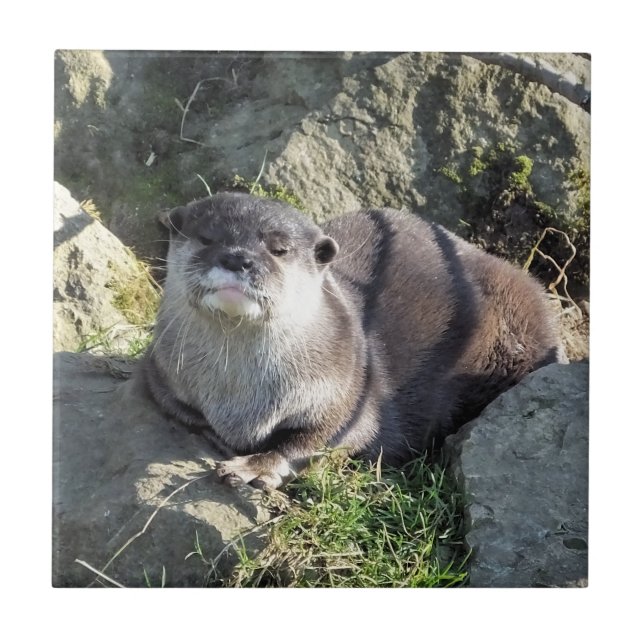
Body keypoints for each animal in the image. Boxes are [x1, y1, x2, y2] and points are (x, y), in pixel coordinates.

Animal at [142, 192, 564, 489]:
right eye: (206, 238)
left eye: (278, 249)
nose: (237, 258)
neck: (240, 399)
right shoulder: (159, 371)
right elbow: (186, 414)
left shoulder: (349, 390)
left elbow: (318, 439)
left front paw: (254, 466)